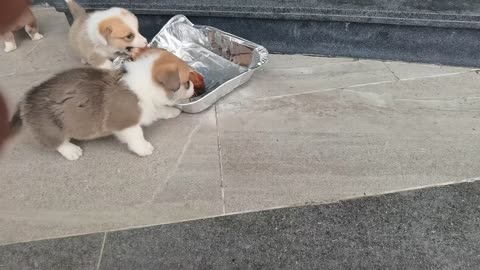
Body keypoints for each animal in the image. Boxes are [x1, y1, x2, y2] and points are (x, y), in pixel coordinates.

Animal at [8, 47, 205, 160]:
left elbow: (160, 110)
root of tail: (26, 98)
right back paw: (72, 151)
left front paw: (171, 112)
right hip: (51, 129)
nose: (193, 88)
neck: (144, 82)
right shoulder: (126, 124)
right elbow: (137, 136)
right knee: (57, 143)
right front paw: (143, 148)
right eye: (186, 83)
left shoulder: (150, 107)